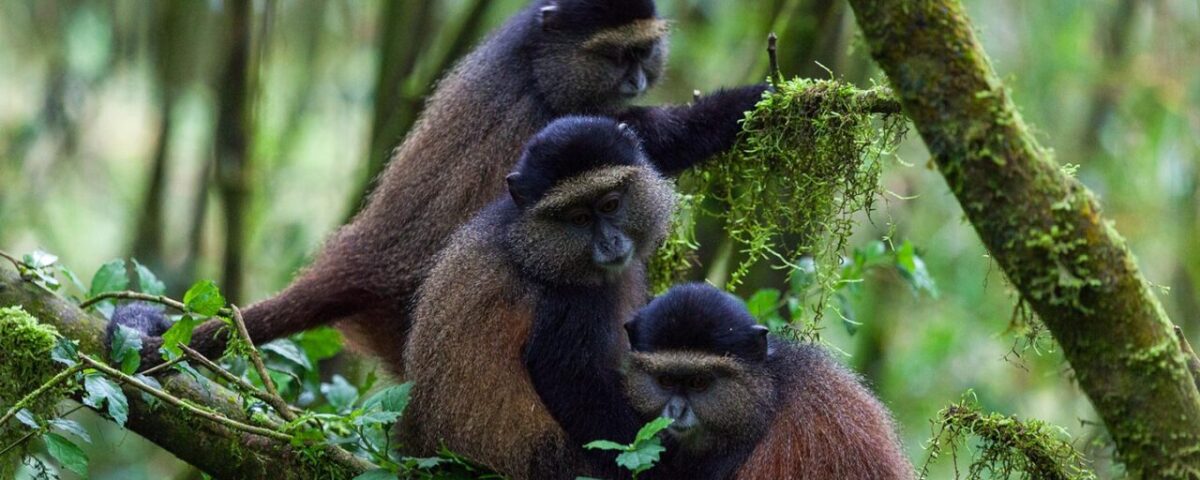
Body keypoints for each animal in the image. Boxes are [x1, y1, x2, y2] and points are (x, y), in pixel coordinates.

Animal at [127, 0, 769, 372]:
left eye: (644, 51)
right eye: (617, 55)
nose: (636, 77)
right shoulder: (555, 123)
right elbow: (647, 138)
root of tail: (366, 259)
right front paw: (762, 99)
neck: (532, 62)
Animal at [400, 116, 676, 479]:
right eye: (579, 218)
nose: (610, 242)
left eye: (610, 204)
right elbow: (570, 381)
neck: (535, 244)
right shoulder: (569, 304)